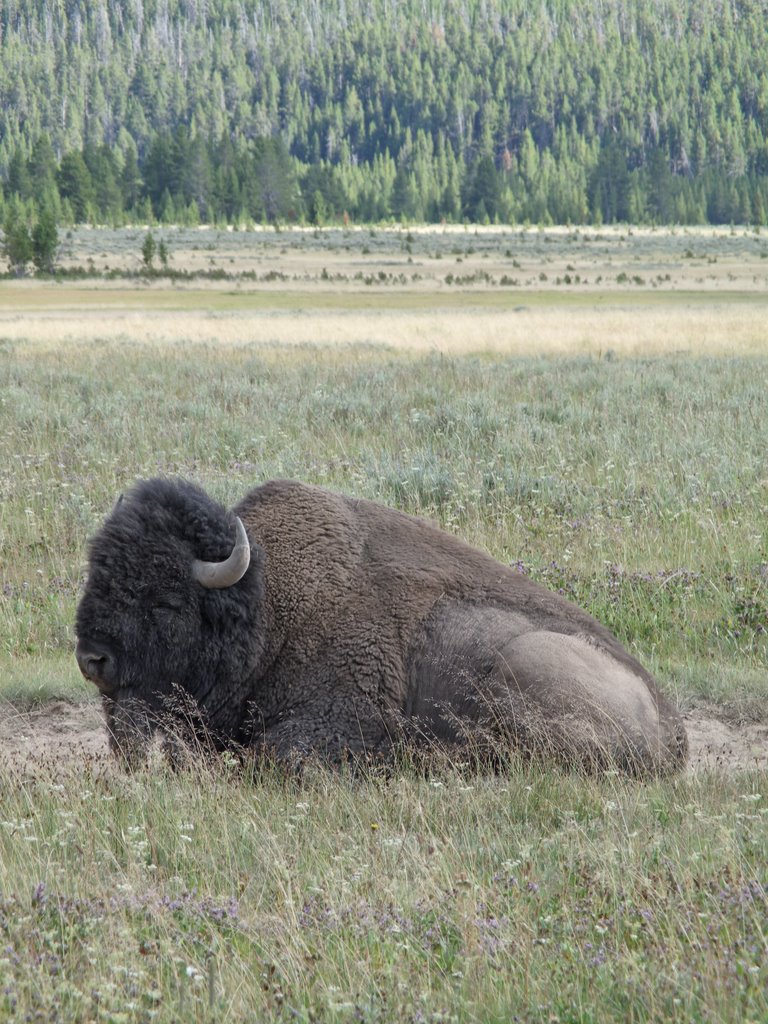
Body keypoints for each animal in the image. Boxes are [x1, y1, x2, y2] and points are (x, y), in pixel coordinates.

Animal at [76, 475, 692, 770]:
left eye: (165, 600)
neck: (267, 604)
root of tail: (675, 731)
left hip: (521, 664)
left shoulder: (333, 723)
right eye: (96, 575)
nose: (92, 658)